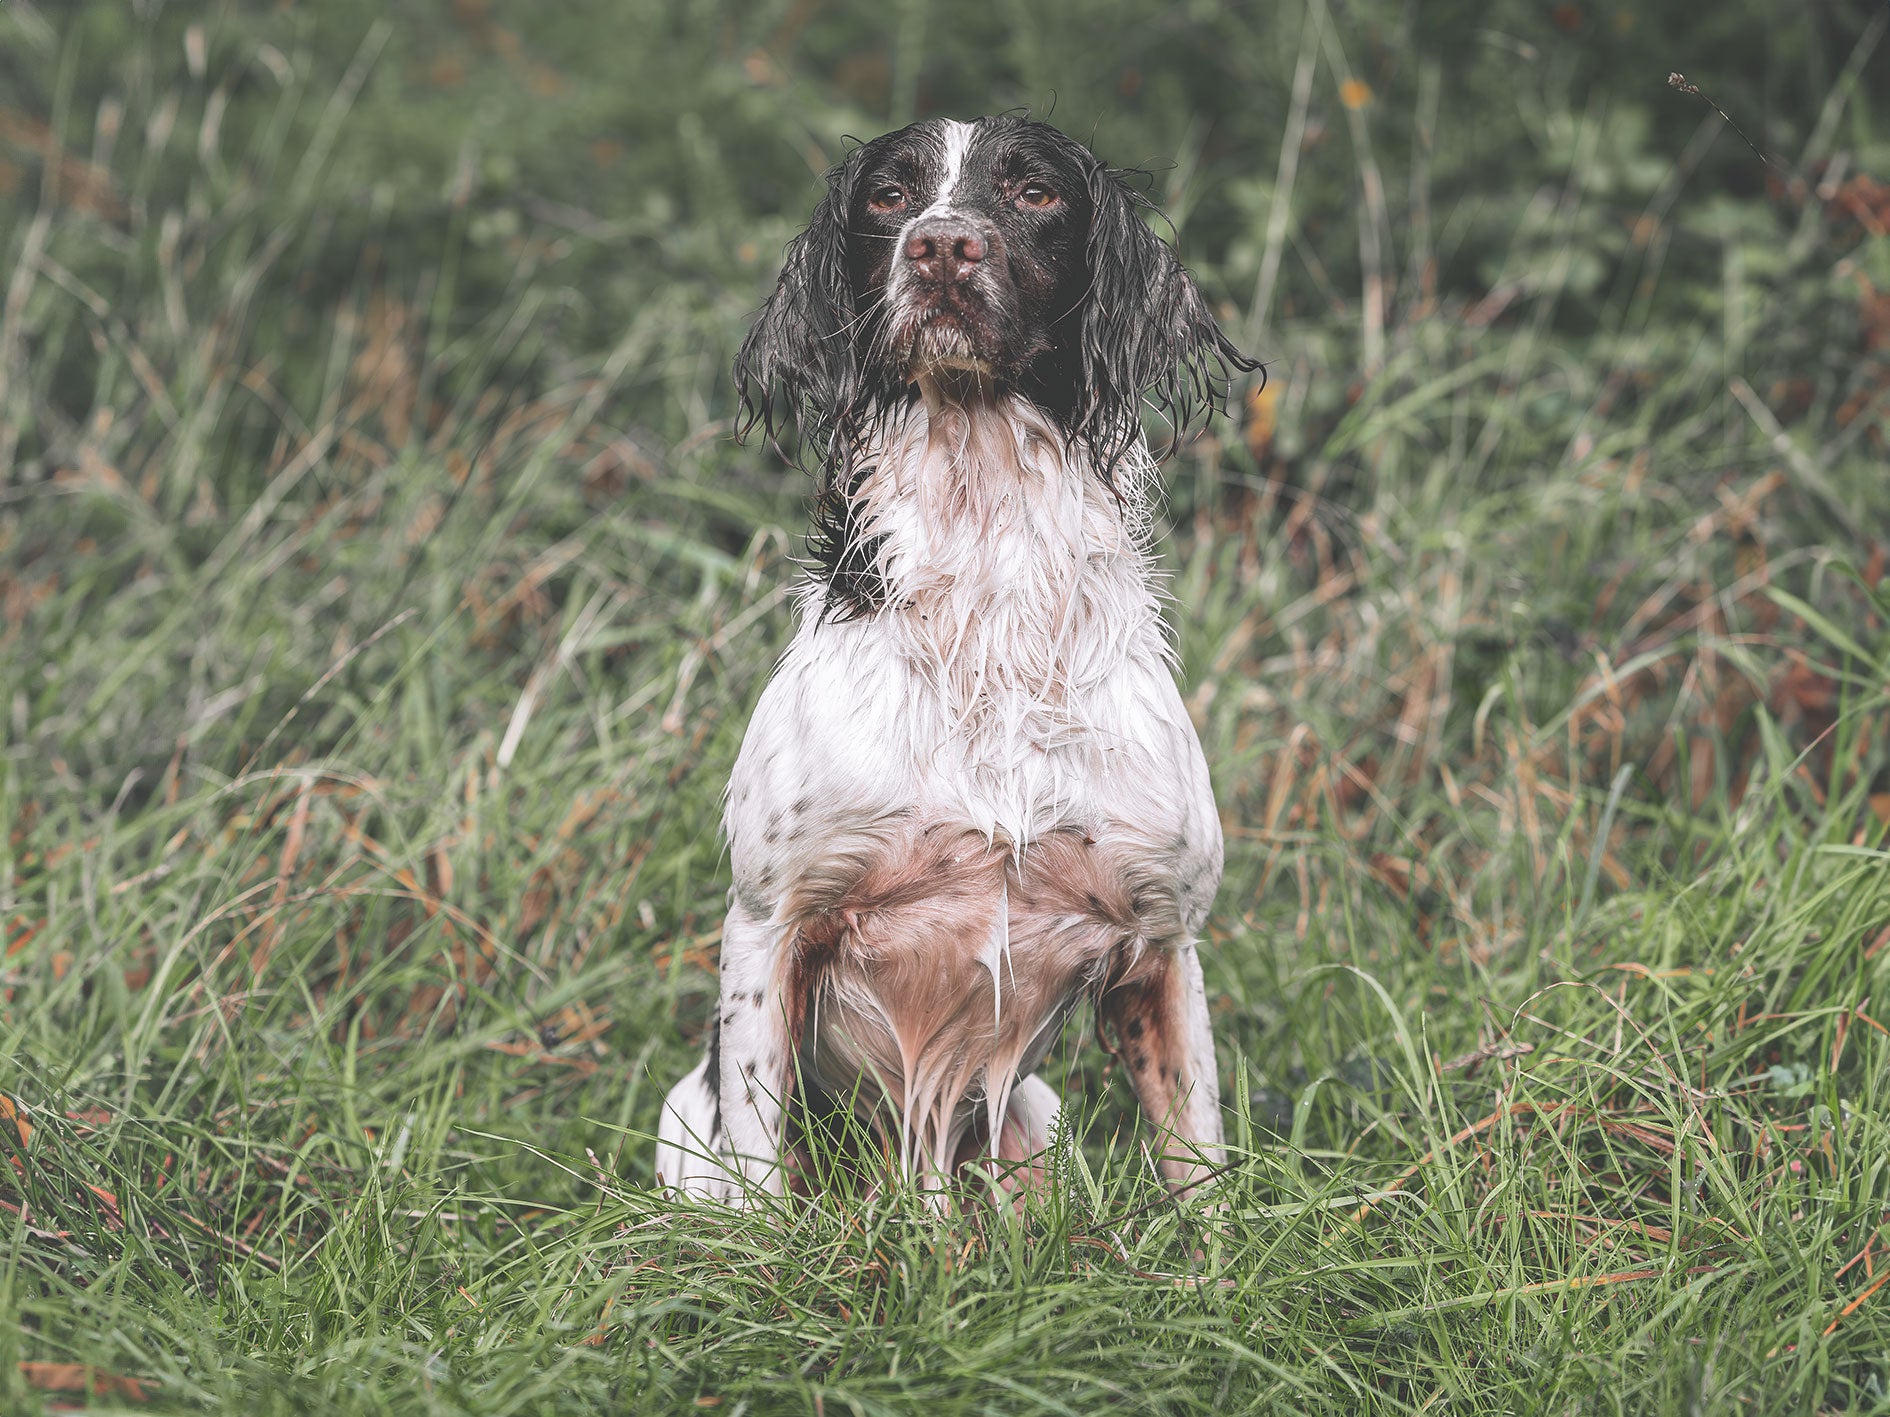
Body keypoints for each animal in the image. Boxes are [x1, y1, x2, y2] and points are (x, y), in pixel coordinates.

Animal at [653, 116, 1254, 1201]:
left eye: (1036, 192)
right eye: (888, 196)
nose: (940, 246)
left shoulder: (1164, 941)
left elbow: (1202, 1171)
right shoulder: (769, 921)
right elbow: (762, 1180)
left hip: (1038, 1113)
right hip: (685, 1123)